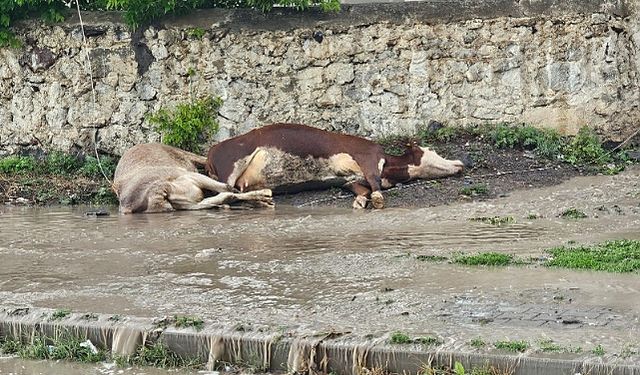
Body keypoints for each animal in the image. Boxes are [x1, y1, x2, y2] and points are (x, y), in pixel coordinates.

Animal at [206, 125, 464, 210]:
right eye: (431, 150)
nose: (462, 163)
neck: (388, 168)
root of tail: (212, 150)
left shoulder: (350, 180)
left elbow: (362, 189)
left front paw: (360, 201)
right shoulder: (368, 156)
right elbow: (375, 185)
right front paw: (377, 199)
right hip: (230, 168)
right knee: (224, 194)